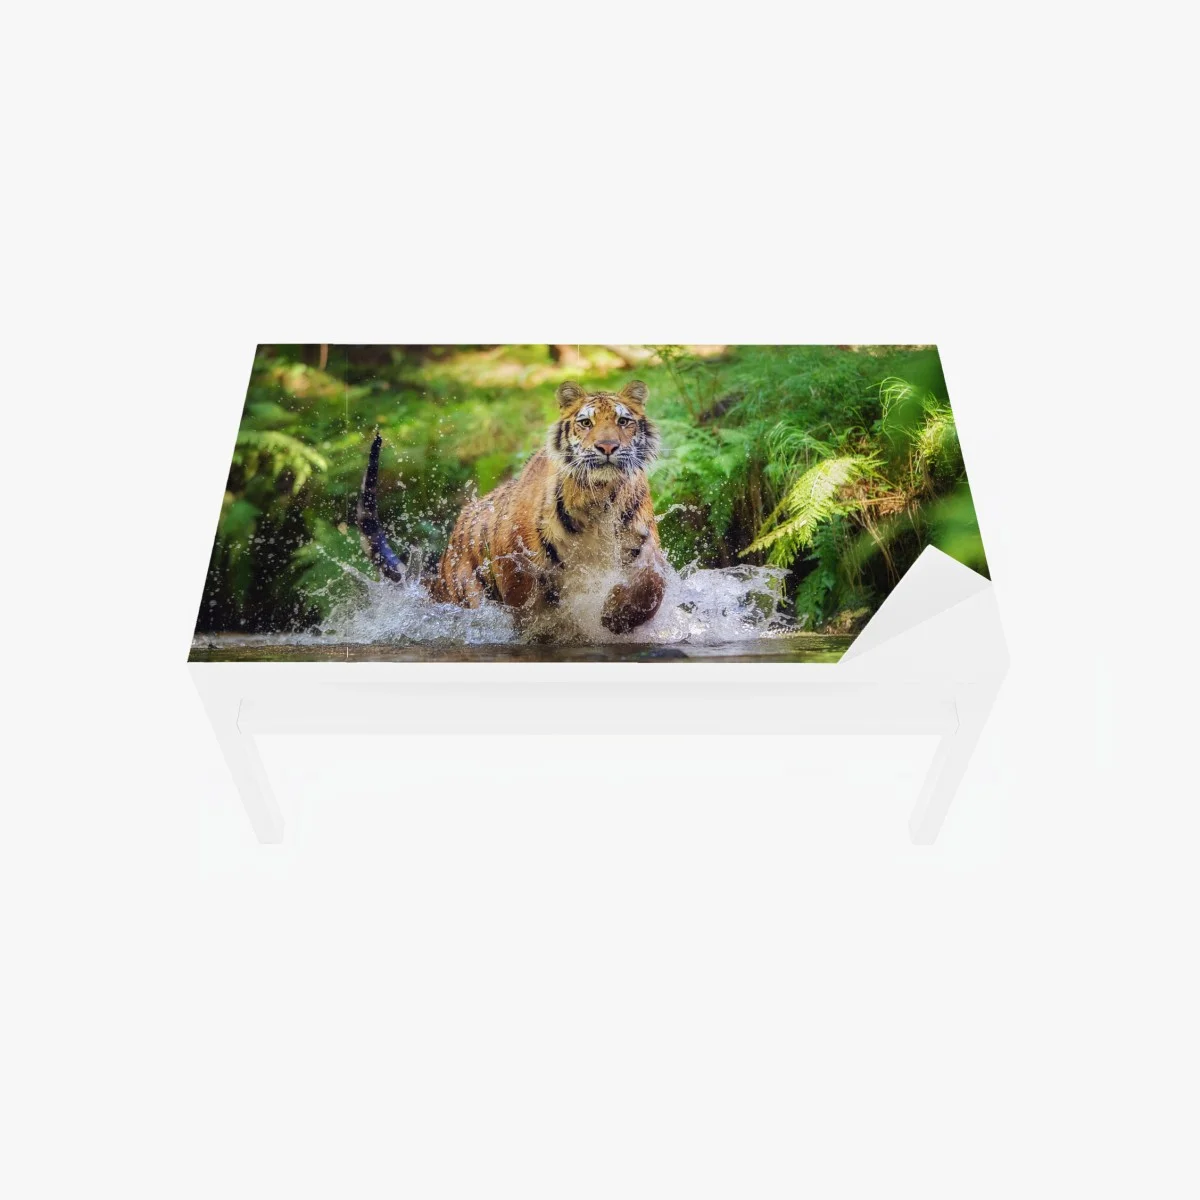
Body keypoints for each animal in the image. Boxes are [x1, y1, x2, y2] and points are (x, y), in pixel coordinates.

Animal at [357, 379, 667, 635]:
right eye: (586, 423)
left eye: (623, 421)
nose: (607, 447)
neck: (597, 499)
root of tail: (447, 553)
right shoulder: (515, 562)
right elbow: (528, 608)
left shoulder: (644, 544)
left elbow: (652, 584)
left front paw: (616, 615)